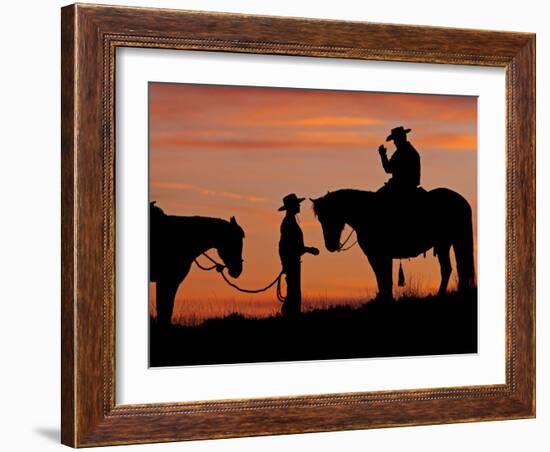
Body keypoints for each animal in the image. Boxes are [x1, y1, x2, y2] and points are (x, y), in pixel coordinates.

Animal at [312, 188, 476, 300]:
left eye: (332, 216)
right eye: (320, 219)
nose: (330, 246)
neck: (367, 213)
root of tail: (462, 201)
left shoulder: (377, 255)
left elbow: (383, 277)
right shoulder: (382, 256)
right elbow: (384, 277)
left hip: (447, 243)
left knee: (451, 268)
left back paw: (441, 294)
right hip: (450, 243)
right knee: (458, 267)